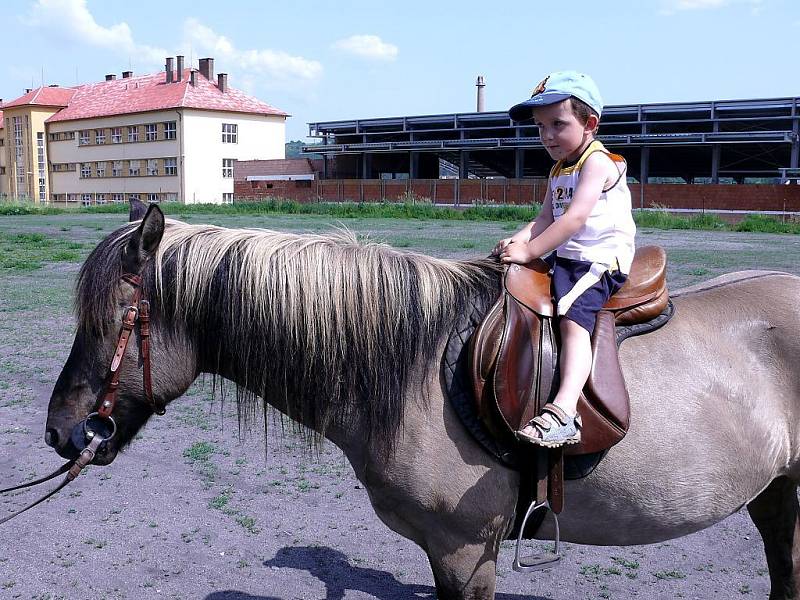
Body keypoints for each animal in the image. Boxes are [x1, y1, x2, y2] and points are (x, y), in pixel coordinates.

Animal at [45, 206, 800, 600]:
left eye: (111, 322)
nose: (61, 432)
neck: (411, 366)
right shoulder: (448, 555)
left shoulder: (466, 551)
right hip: (777, 492)